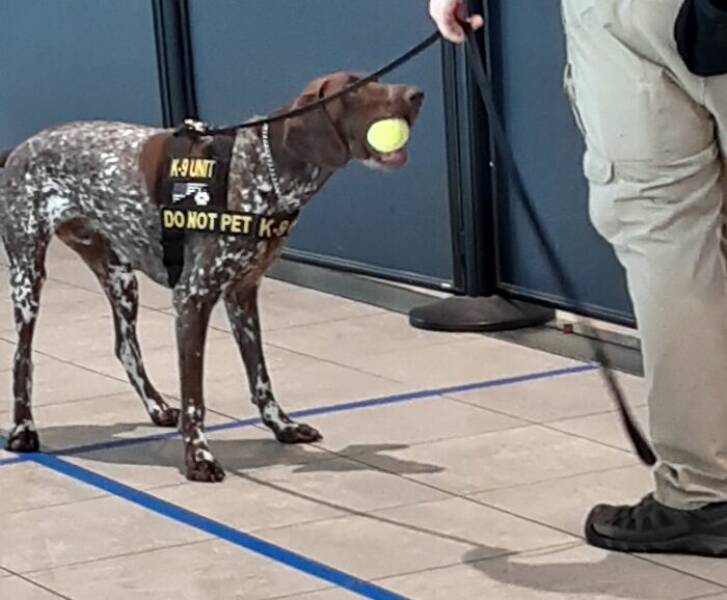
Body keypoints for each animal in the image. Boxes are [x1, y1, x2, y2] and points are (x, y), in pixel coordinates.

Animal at [0, 72, 424, 480]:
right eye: (356, 89)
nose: (416, 94)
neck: (264, 167)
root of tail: (20, 147)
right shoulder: (193, 298)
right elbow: (195, 398)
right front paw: (198, 457)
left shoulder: (242, 294)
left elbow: (260, 377)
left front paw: (282, 427)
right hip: (28, 276)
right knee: (23, 358)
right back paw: (23, 430)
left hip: (120, 277)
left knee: (125, 347)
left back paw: (156, 407)